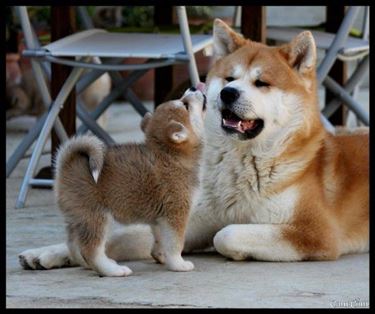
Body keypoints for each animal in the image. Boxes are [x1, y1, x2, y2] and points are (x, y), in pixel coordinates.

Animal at [18, 19, 370, 270]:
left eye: (261, 83)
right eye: (229, 78)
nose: (229, 93)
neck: (241, 166)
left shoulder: (315, 232)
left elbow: (226, 233)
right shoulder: (188, 217)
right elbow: (119, 237)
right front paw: (50, 252)